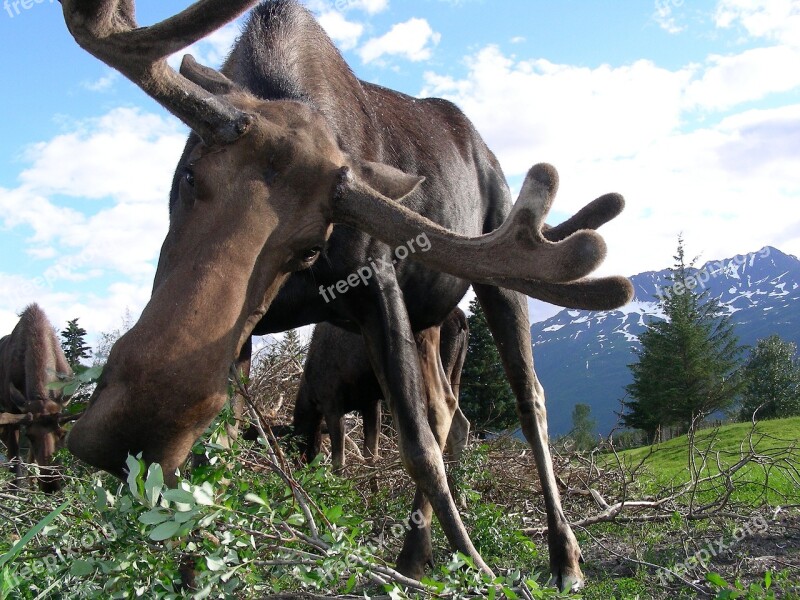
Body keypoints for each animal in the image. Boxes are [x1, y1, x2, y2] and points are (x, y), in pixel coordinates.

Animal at [292, 308, 468, 472]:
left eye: (295, 445)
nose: (301, 468)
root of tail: (462, 319)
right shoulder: (370, 402)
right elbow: (371, 455)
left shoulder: (332, 403)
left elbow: (339, 461)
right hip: (454, 374)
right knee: (459, 422)